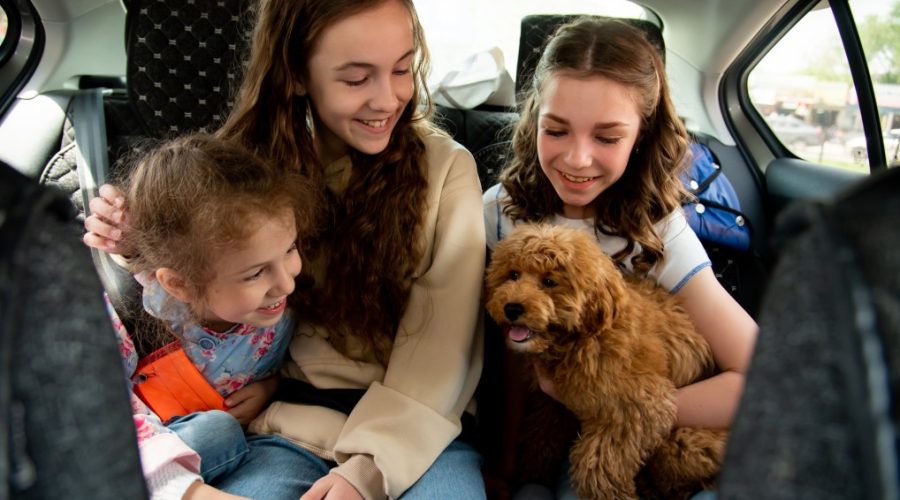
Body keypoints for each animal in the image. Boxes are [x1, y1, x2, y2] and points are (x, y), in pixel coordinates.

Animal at [486, 225, 724, 500]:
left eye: (549, 281)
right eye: (513, 274)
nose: (512, 308)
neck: (580, 337)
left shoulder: (638, 408)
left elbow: (597, 466)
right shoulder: (552, 405)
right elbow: (541, 437)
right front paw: (534, 473)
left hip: (682, 444)